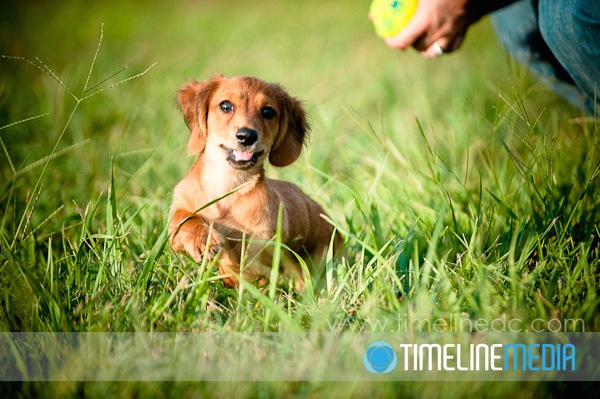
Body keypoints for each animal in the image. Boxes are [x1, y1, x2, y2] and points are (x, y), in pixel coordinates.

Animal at [168, 74, 342, 288]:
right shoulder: (177, 217)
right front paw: (204, 241)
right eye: (226, 106)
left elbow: (245, 260)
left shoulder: (264, 241)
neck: (227, 185)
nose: (246, 136)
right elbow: (185, 219)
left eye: (268, 111)